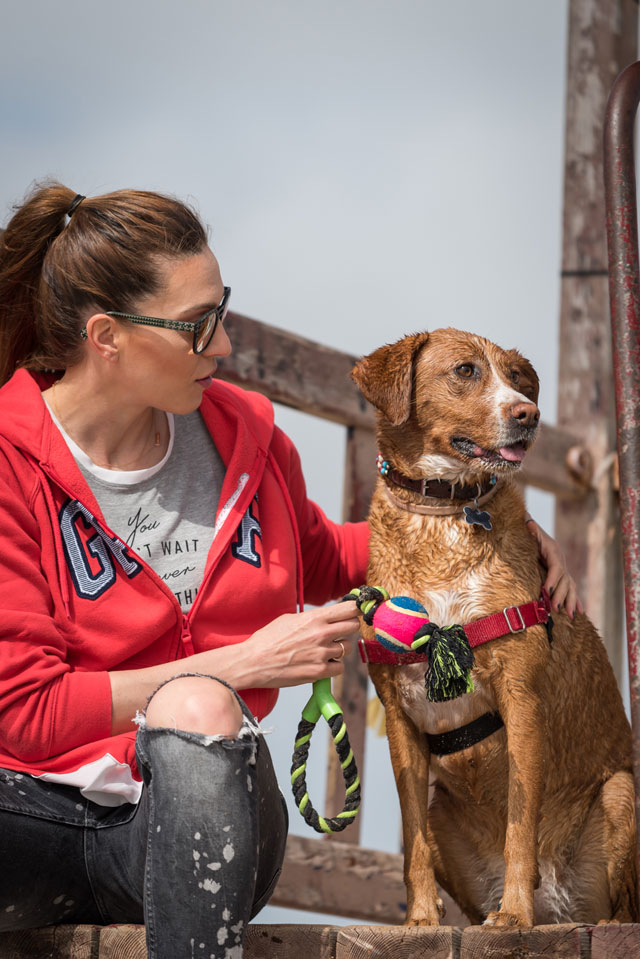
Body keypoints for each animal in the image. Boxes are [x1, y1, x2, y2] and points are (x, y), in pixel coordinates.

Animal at [350, 328, 637, 928]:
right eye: (465, 370)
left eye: (518, 378)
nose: (529, 414)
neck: (441, 519)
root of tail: (560, 911)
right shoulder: (399, 717)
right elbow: (412, 840)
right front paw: (420, 921)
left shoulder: (522, 700)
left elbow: (520, 827)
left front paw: (513, 915)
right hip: (442, 809)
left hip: (622, 794)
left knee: (621, 910)